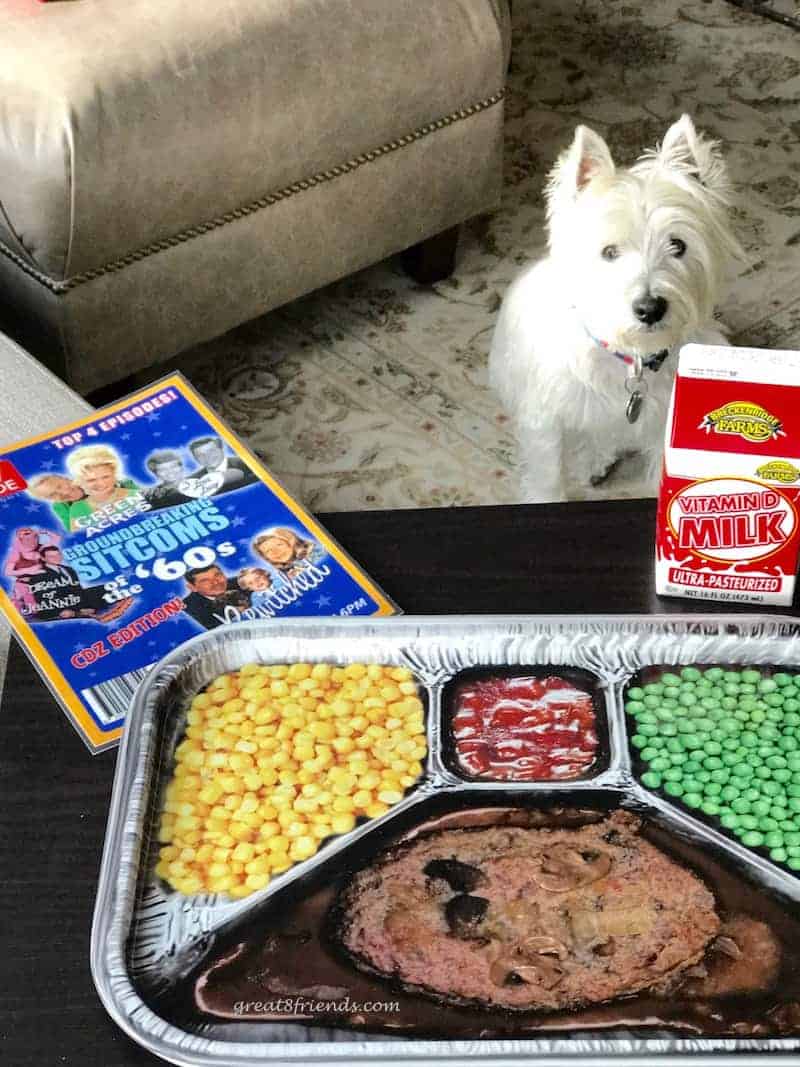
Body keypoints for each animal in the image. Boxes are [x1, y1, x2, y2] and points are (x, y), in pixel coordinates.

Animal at [488, 114, 746, 501]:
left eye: (678, 245)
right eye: (609, 252)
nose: (650, 308)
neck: (631, 357)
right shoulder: (546, 419)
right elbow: (548, 476)